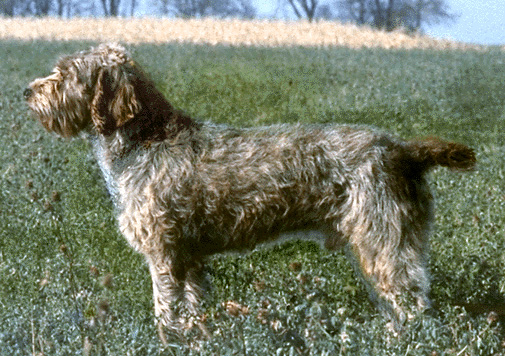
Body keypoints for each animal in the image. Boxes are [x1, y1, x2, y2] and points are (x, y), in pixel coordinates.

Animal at [24, 43, 472, 340]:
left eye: (66, 74)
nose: (27, 92)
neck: (143, 140)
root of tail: (402, 149)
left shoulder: (164, 254)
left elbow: (165, 309)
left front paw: (167, 340)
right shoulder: (189, 257)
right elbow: (192, 305)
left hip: (385, 244)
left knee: (415, 304)